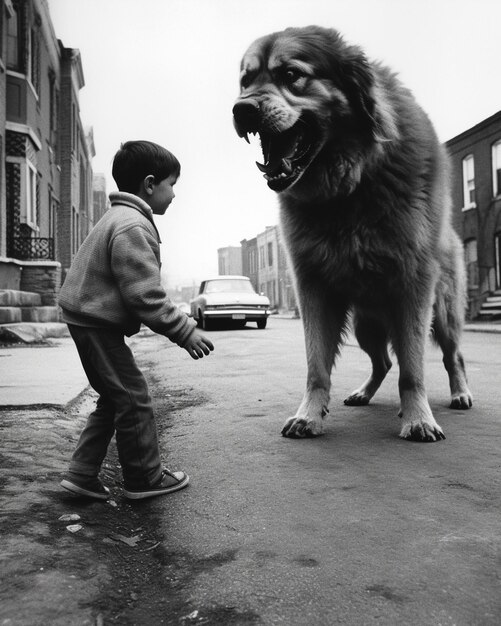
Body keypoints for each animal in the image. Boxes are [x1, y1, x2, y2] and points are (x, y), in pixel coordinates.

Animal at [232, 26, 470, 442]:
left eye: (291, 75)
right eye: (246, 80)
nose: (241, 109)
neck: (349, 185)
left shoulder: (413, 287)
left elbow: (413, 370)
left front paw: (418, 418)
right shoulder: (314, 289)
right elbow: (317, 366)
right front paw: (309, 415)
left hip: (442, 312)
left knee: (450, 354)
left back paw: (459, 393)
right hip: (365, 325)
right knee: (383, 362)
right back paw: (363, 393)